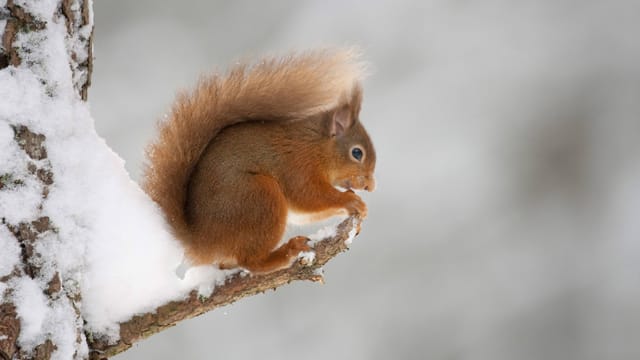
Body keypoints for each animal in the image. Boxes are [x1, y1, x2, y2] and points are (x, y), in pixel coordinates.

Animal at [141, 47, 376, 272]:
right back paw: (288, 251)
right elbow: (309, 196)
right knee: (252, 262)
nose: (370, 186)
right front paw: (349, 200)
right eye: (357, 153)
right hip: (259, 197)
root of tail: (203, 241)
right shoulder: (298, 165)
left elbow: (305, 213)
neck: (316, 145)